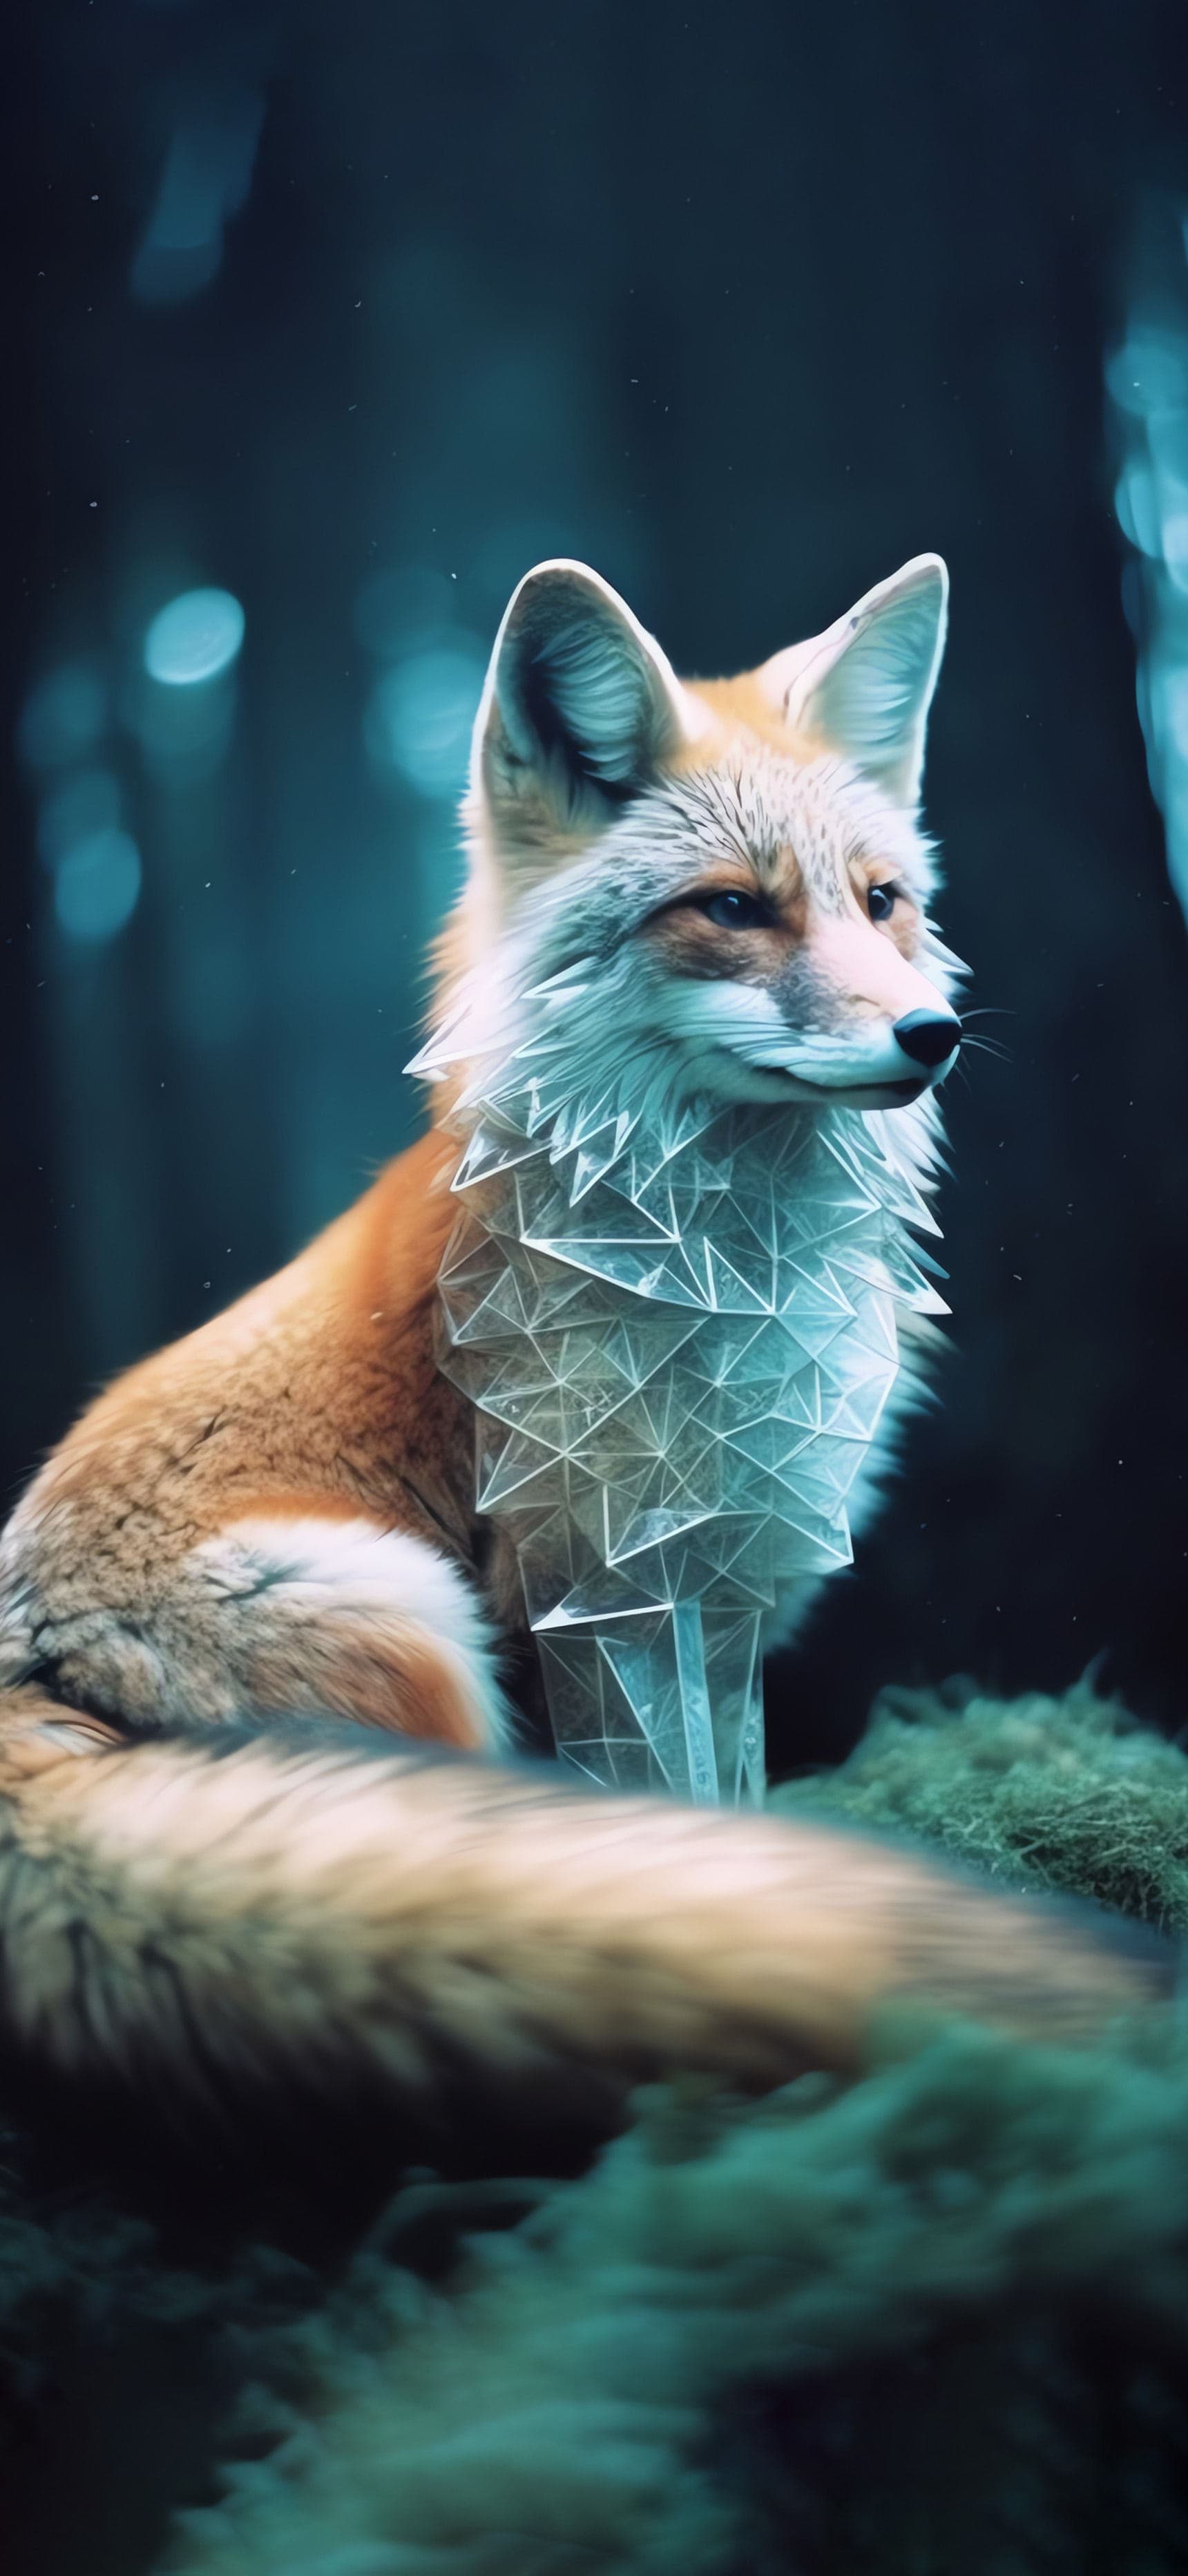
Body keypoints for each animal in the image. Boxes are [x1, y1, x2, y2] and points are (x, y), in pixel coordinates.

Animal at [0, 556, 1169, 2168]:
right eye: (731, 909)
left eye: (882, 904)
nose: (930, 1032)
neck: (720, 1261)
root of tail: (27, 1674)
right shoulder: (590, 1591)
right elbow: (662, 1812)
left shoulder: (723, 1582)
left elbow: (727, 1799)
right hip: (408, 1623)